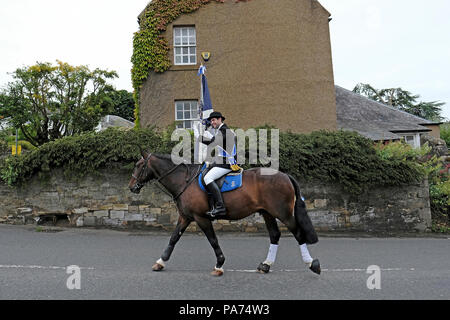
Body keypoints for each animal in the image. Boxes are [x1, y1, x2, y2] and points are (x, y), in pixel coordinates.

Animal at [128, 151, 322, 276]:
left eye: (138, 165)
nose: (131, 187)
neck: (184, 180)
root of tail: (284, 175)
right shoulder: (186, 217)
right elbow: (174, 238)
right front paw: (160, 262)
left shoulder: (201, 218)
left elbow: (213, 240)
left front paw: (219, 264)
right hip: (267, 213)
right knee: (275, 235)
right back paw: (265, 266)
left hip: (283, 213)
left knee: (298, 233)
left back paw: (312, 264)